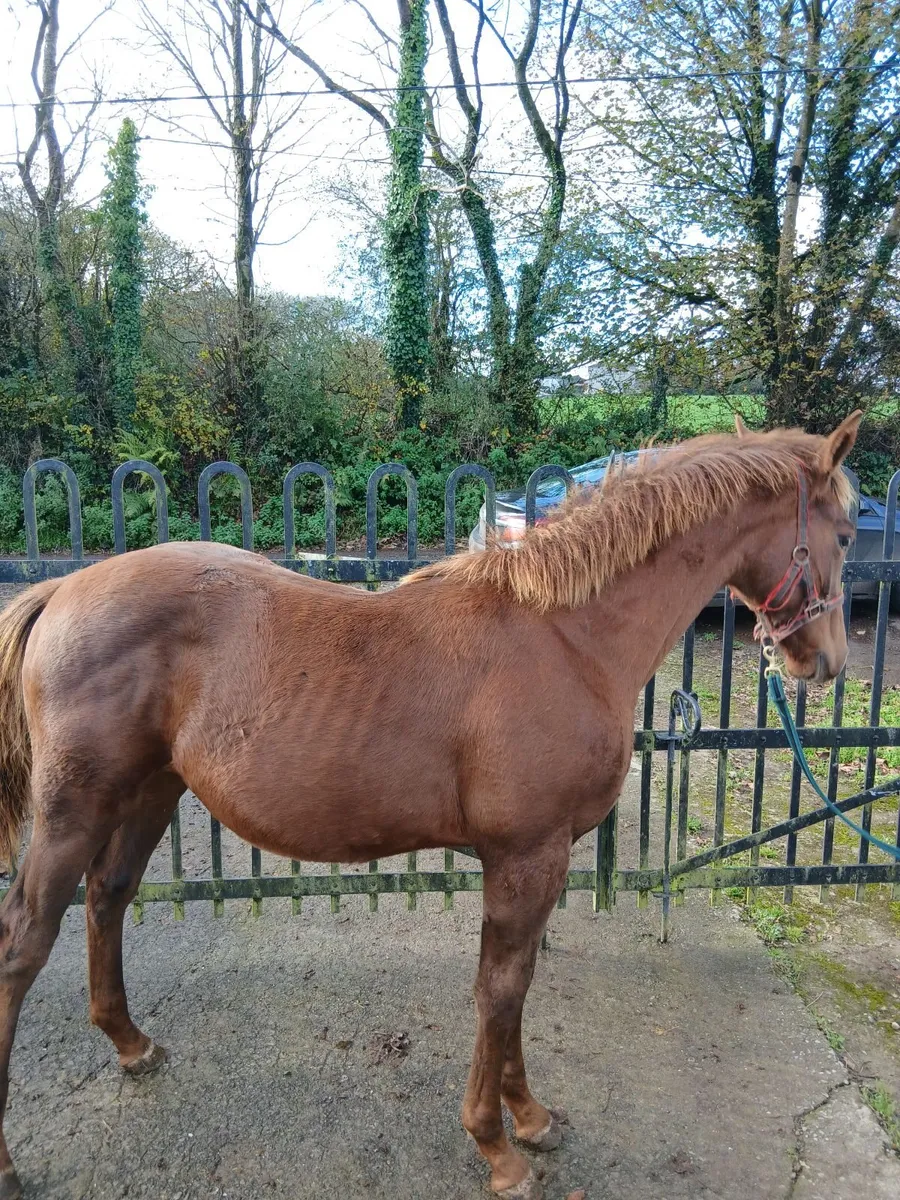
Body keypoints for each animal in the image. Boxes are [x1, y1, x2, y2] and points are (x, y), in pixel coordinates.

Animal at [0, 414, 860, 1200]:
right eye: (848, 534)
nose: (826, 662)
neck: (567, 638)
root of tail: (62, 589)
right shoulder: (527, 857)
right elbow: (500, 992)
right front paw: (498, 1145)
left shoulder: (528, 863)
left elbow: (513, 987)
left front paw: (529, 1116)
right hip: (73, 811)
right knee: (25, 941)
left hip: (148, 794)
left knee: (107, 899)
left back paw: (131, 1043)